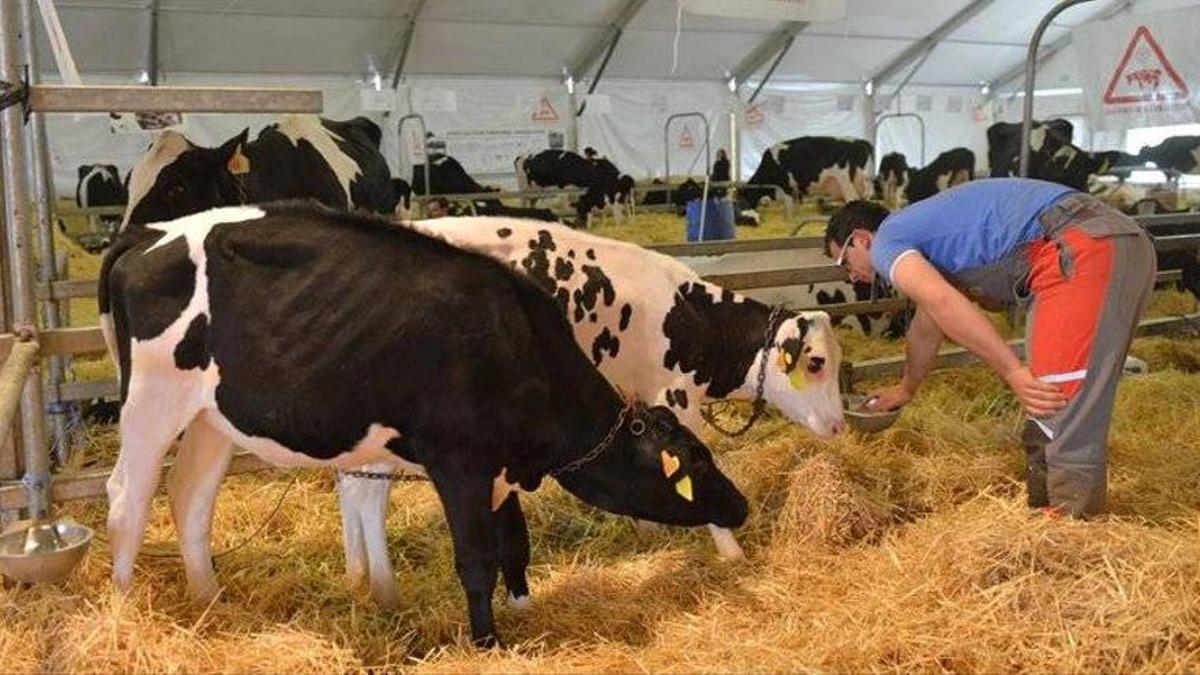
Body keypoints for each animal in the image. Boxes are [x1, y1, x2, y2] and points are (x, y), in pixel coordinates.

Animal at [100, 200, 748, 648]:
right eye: (695, 459)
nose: (740, 506)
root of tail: (148, 233)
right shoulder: (460, 460)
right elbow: (477, 557)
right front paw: (487, 641)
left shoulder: (498, 468)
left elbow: (515, 544)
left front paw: (523, 609)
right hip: (151, 401)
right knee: (127, 498)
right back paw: (127, 608)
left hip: (210, 418)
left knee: (189, 495)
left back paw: (209, 600)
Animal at [321, 219, 844, 605]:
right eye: (816, 362)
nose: (839, 425)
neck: (691, 317)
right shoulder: (676, 397)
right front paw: (731, 551)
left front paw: (648, 530)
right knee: (366, 493)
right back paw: (384, 589)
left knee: (350, 484)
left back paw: (356, 576)